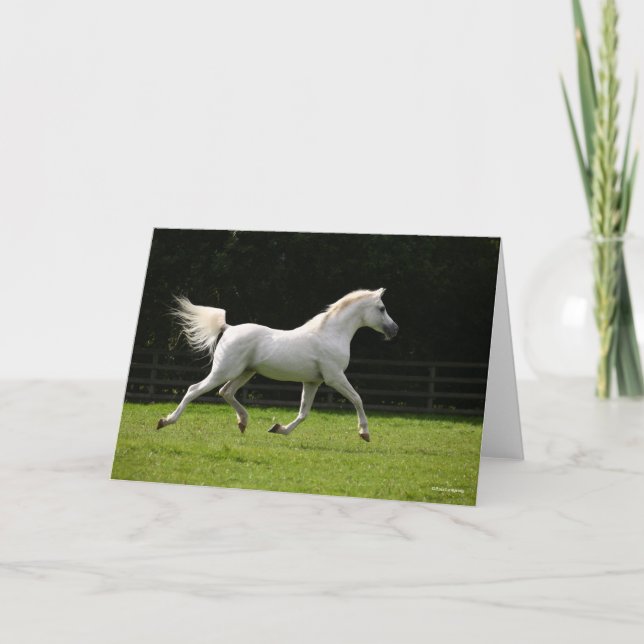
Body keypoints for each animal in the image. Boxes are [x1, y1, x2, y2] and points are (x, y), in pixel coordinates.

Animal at [156, 288, 399, 442]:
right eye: (382, 308)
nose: (394, 330)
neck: (331, 334)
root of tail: (229, 328)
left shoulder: (313, 382)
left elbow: (303, 413)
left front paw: (278, 429)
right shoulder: (335, 377)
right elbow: (357, 398)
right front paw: (364, 433)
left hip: (245, 372)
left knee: (226, 392)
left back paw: (243, 422)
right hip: (224, 370)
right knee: (194, 389)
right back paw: (165, 421)